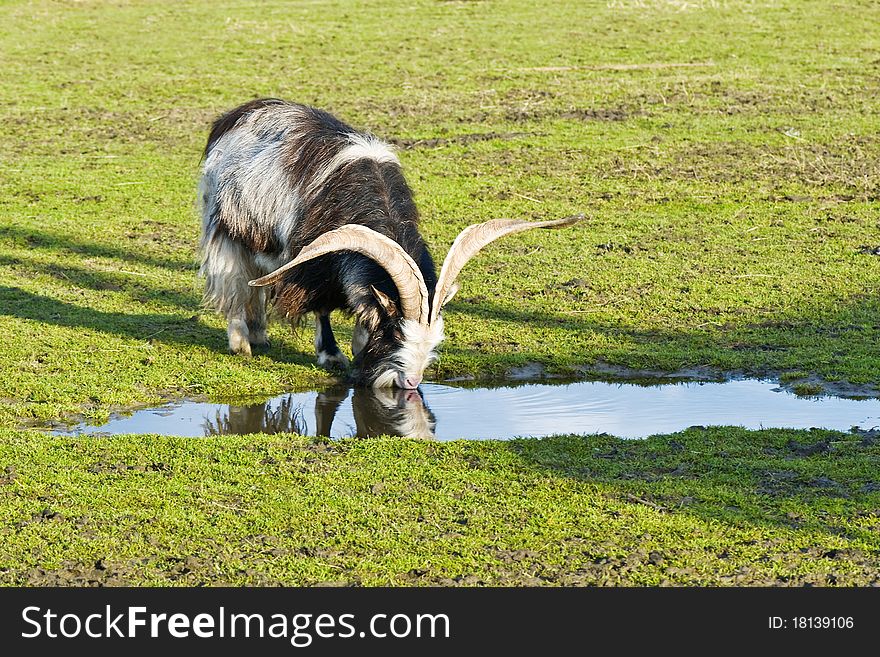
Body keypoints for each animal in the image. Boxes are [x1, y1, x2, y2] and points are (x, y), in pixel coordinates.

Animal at [200, 96, 584, 384]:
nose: (411, 382)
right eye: (397, 335)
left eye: (436, 338)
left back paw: (259, 333)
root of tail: (237, 114)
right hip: (228, 228)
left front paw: (359, 345)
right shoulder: (316, 258)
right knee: (236, 280)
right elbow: (323, 307)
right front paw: (332, 354)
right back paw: (241, 340)